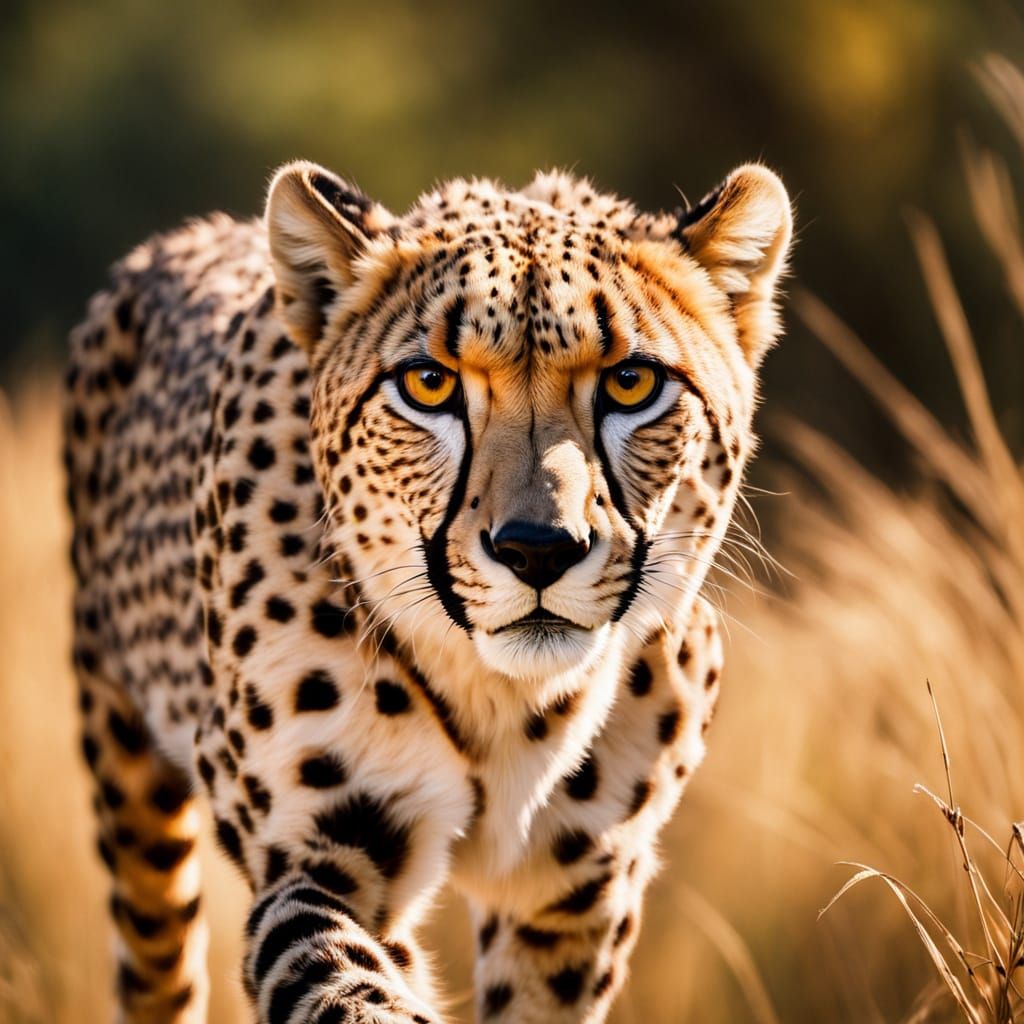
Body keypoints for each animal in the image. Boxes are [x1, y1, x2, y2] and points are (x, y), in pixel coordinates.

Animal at [63, 157, 792, 1023]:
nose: (538, 549)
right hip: (129, 782)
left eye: (631, 382)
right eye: (428, 384)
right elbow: (345, 981)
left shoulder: (576, 888)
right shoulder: (319, 850)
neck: (508, 701)